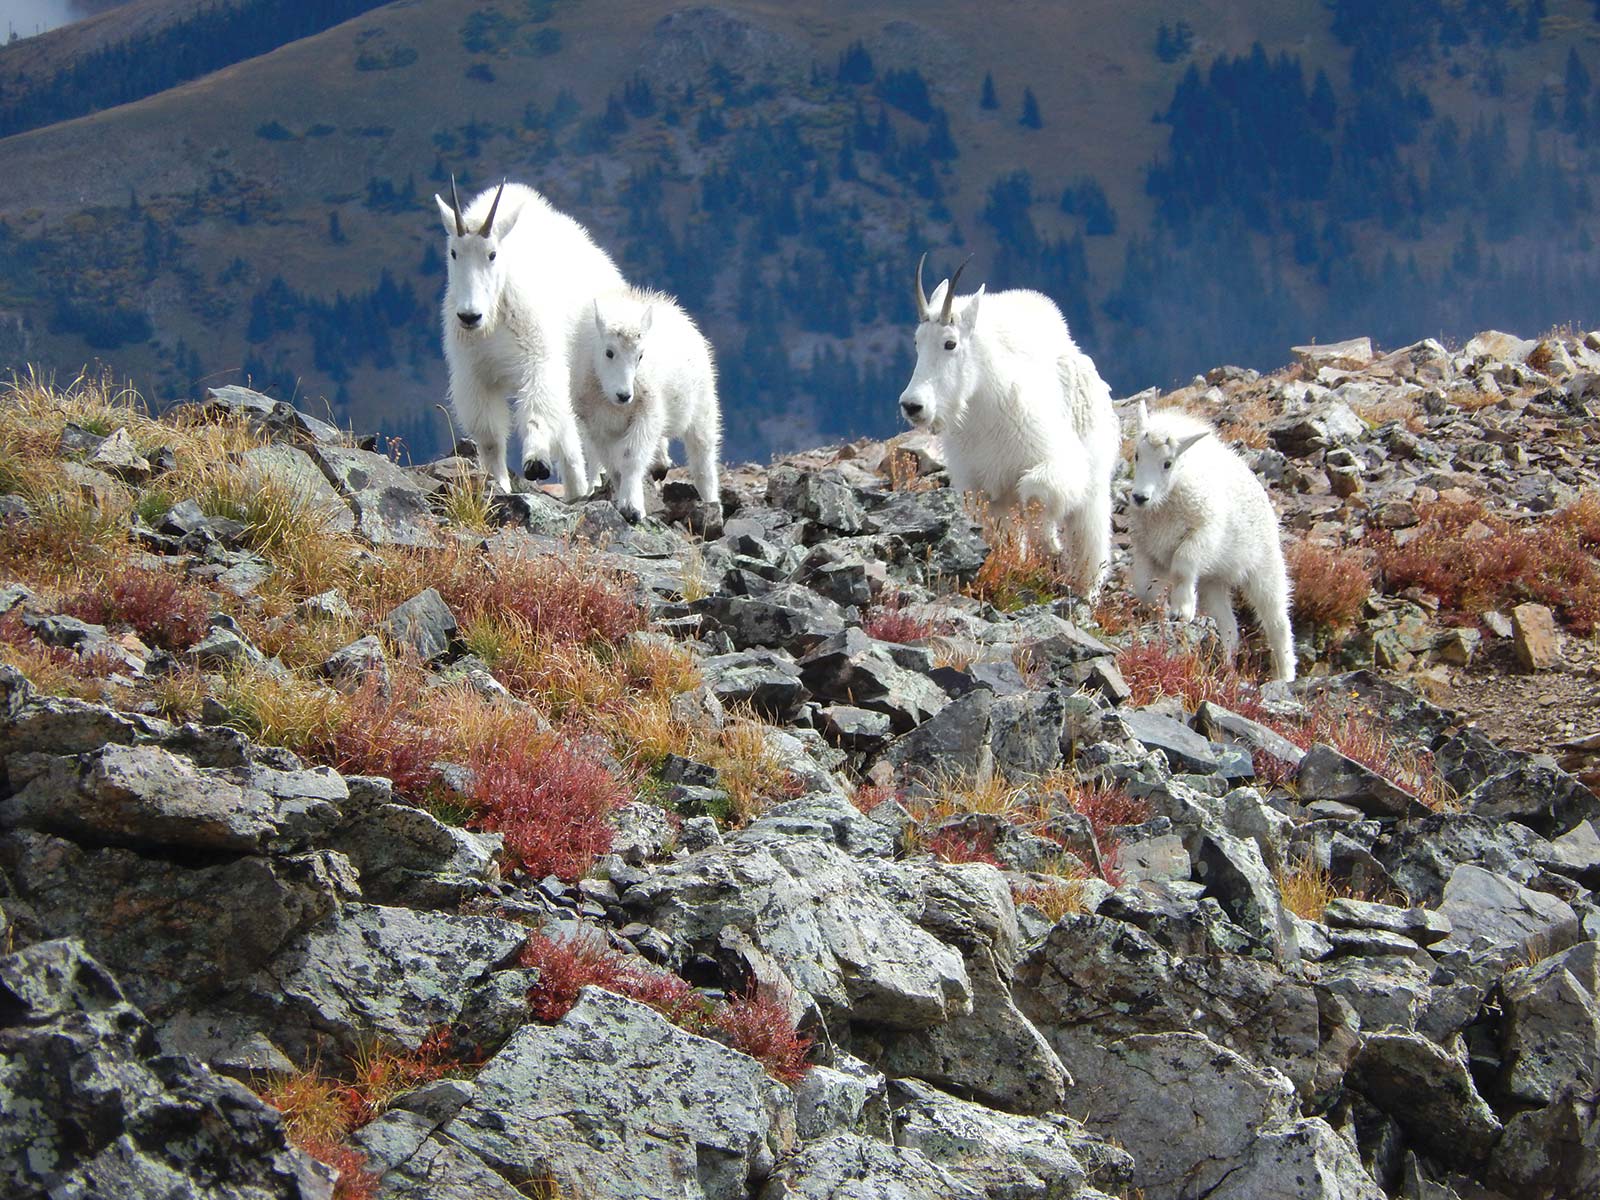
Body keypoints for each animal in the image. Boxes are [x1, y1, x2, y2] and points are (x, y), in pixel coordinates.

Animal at [435, 176, 620, 496]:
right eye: (454, 252)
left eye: (492, 254)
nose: (469, 316)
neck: (494, 315)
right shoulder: (475, 375)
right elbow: (490, 438)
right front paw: (499, 485)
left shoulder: (538, 358)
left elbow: (536, 408)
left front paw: (536, 462)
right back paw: (576, 488)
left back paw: (592, 483)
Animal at [572, 289, 723, 524]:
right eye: (609, 352)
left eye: (640, 356)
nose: (624, 395)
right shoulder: (598, 426)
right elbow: (614, 467)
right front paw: (621, 500)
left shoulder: (647, 413)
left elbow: (631, 457)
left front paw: (632, 508)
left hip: (703, 406)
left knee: (703, 457)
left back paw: (712, 505)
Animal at [896, 259, 1120, 604]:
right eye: (917, 342)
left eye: (950, 343)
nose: (912, 406)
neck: (981, 408)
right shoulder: (980, 489)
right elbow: (997, 534)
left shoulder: (1055, 462)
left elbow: (1037, 491)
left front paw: (1050, 545)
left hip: (1094, 482)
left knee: (1089, 537)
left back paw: (1087, 588)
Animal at [1126, 404, 1299, 684]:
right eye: (1137, 455)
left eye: (1167, 463)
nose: (1140, 497)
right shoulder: (1148, 549)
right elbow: (1145, 589)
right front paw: (1161, 612)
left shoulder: (1203, 534)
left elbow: (1183, 565)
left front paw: (1181, 610)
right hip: (1213, 583)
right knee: (1228, 625)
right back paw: (1225, 666)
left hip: (1265, 566)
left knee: (1277, 619)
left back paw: (1285, 674)